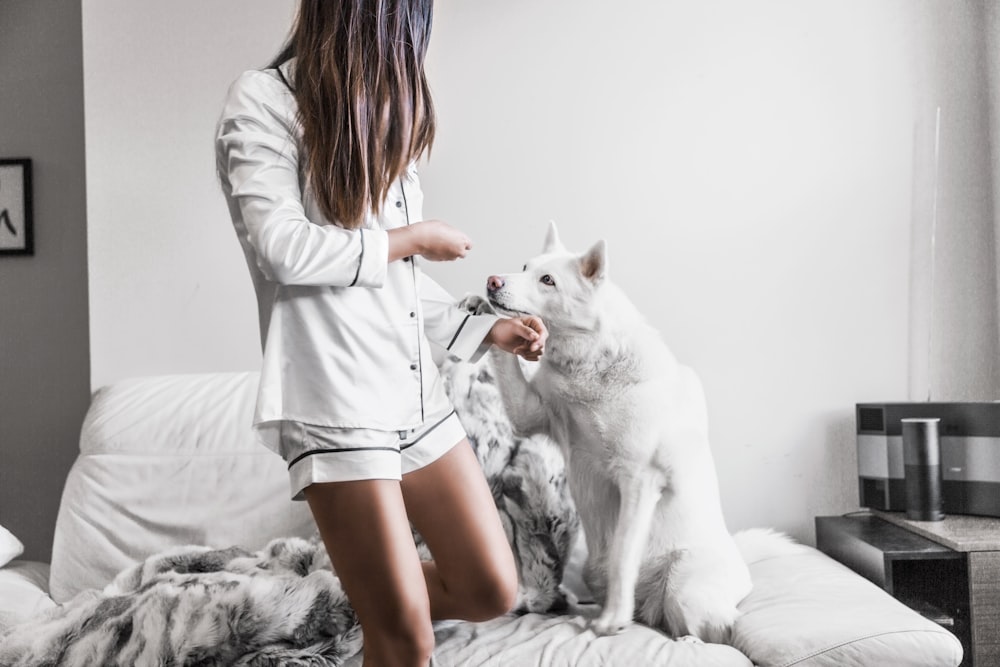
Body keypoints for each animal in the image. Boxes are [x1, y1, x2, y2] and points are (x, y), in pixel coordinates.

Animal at [488, 223, 752, 640]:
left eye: (548, 280)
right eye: (525, 267)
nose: (492, 281)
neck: (590, 363)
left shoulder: (638, 478)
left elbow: (622, 556)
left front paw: (612, 620)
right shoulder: (530, 414)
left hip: (685, 591)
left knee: (715, 630)